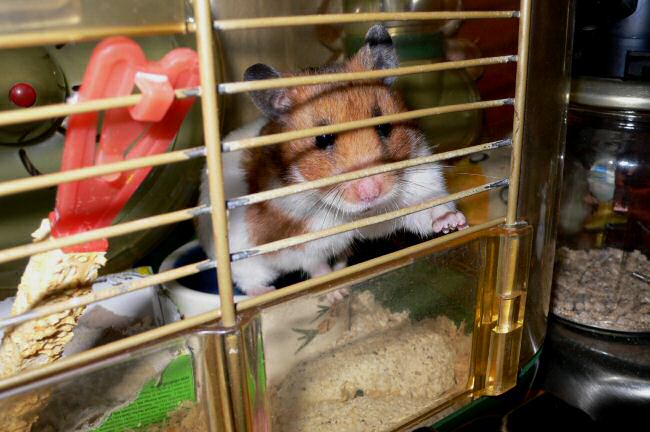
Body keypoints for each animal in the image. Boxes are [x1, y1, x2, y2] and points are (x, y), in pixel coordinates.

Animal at [198, 24, 467, 297]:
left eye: (385, 127)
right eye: (323, 139)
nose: (371, 192)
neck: (360, 214)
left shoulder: (417, 185)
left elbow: (429, 211)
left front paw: (454, 222)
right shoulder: (300, 242)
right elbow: (314, 266)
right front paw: (337, 292)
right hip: (243, 258)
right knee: (248, 279)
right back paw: (266, 292)